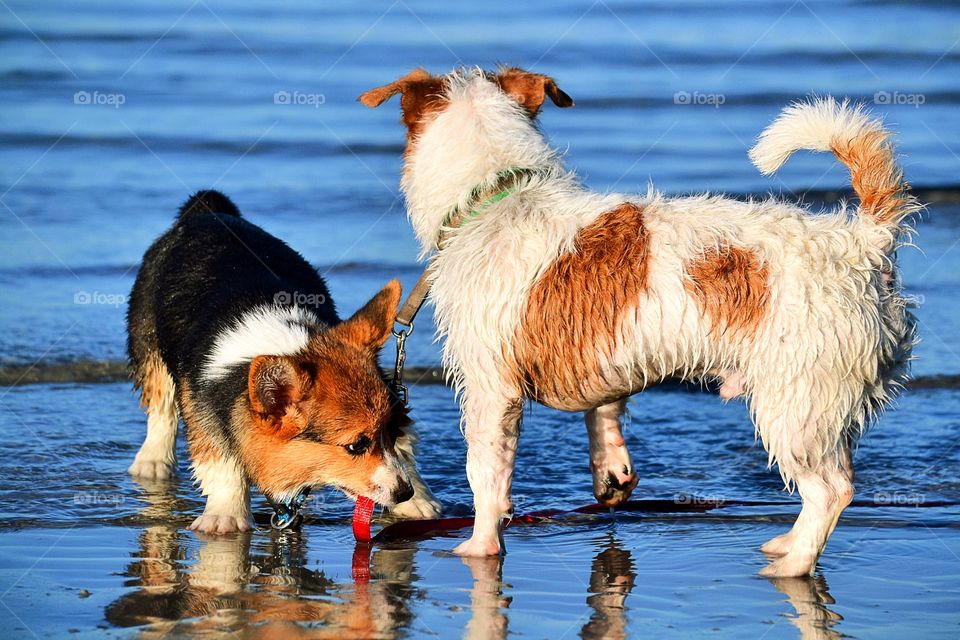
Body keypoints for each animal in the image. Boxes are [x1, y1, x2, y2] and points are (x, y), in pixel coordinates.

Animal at [128, 191, 442, 536]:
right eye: (356, 447)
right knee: (161, 404)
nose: (404, 492)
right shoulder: (204, 402)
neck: (285, 345)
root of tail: (206, 211)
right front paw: (226, 515)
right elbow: (220, 458)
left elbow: (404, 448)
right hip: (148, 343)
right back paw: (152, 460)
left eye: (391, 429)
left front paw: (418, 500)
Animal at [358, 67, 916, 576]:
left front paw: (480, 545)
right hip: (826, 404)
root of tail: (863, 242)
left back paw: (794, 565)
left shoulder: (492, 390)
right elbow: (603, 416)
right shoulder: (602, 356)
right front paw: (611, 473)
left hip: (794, 404)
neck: (496, 197)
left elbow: (486, 477)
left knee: (831, 490)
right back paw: (787, 544)